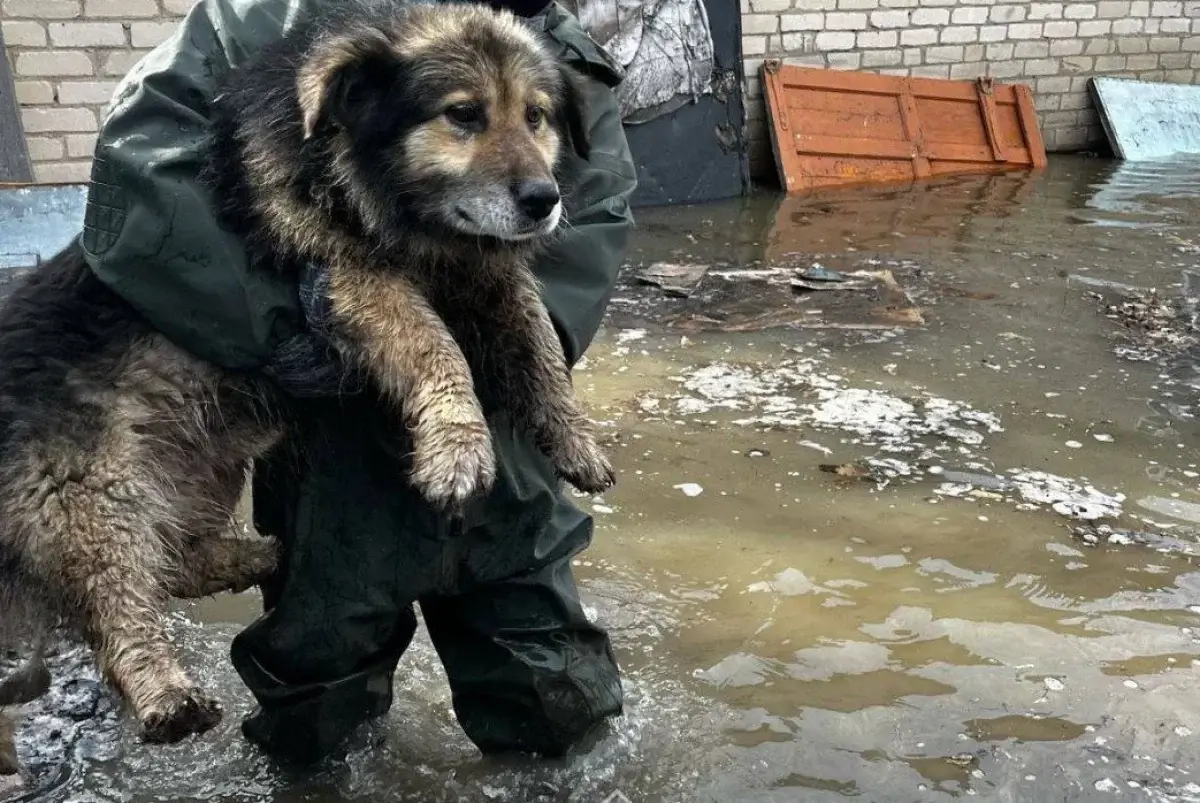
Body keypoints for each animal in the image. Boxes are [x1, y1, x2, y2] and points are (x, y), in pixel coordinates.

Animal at [0, 0, 619, 758]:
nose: (543, 199)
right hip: (91, 492)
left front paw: (573, 437)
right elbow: (435, 344)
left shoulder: (489, 272)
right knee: (118, 604)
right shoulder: (348, 272)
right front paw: (457, 444)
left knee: (174, 562)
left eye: (537, 116)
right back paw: (167, 693)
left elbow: (539, 339)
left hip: (201, 463)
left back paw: (259, 555)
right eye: (463, 114)